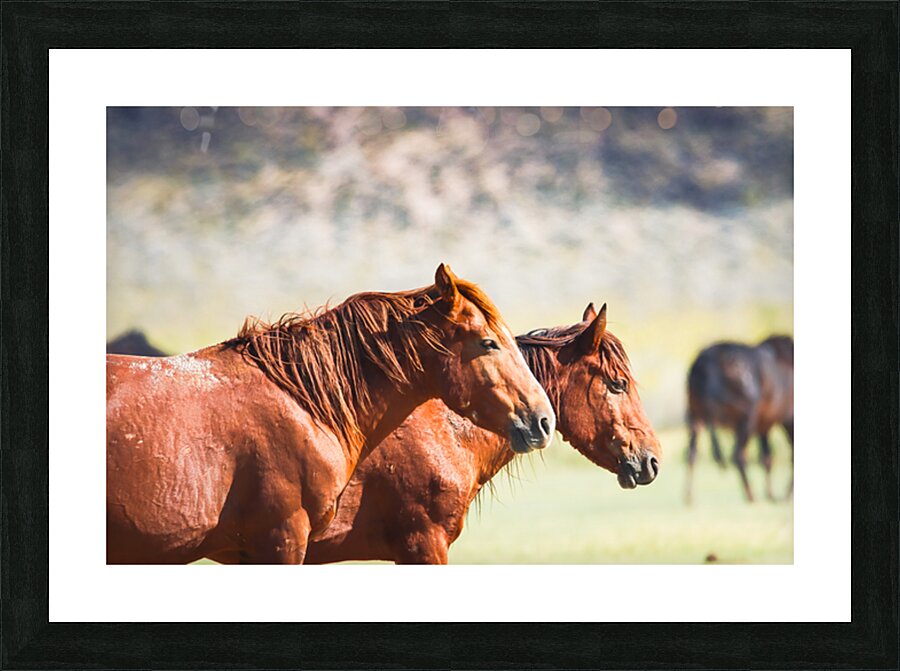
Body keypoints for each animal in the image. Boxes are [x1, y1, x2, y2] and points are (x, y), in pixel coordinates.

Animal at [685, 335, 794, 503]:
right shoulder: (785, 420)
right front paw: (783, 495)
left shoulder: (764, 425)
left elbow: (767, 457)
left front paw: (771, 494)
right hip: (745, 420)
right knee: (738, 455)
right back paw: (751, 494)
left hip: (695, 417)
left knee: (692, 454)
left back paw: (689, 497)